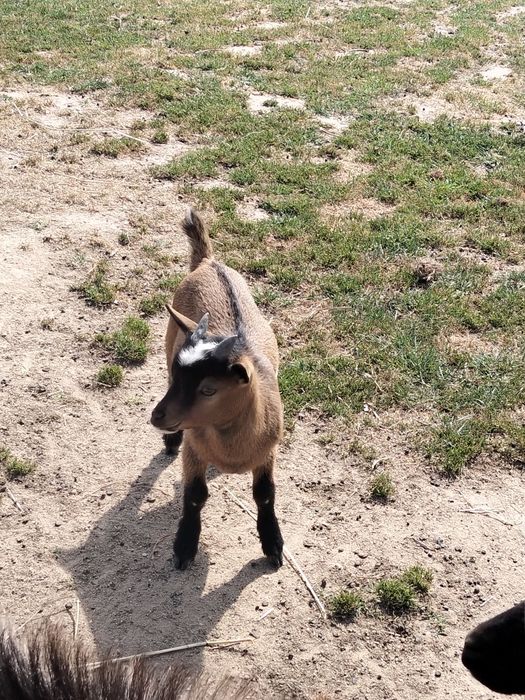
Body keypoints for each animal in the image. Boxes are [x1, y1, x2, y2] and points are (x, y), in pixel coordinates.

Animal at [150, 209, 284, 570]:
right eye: (178, 375)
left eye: (209, 390)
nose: (156, 417)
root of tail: (208, 262)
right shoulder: (194, 449)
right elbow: (195, 496)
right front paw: (184, 547)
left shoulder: (268, 451)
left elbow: (265, 494)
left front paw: (273, 544)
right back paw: (170, 441)